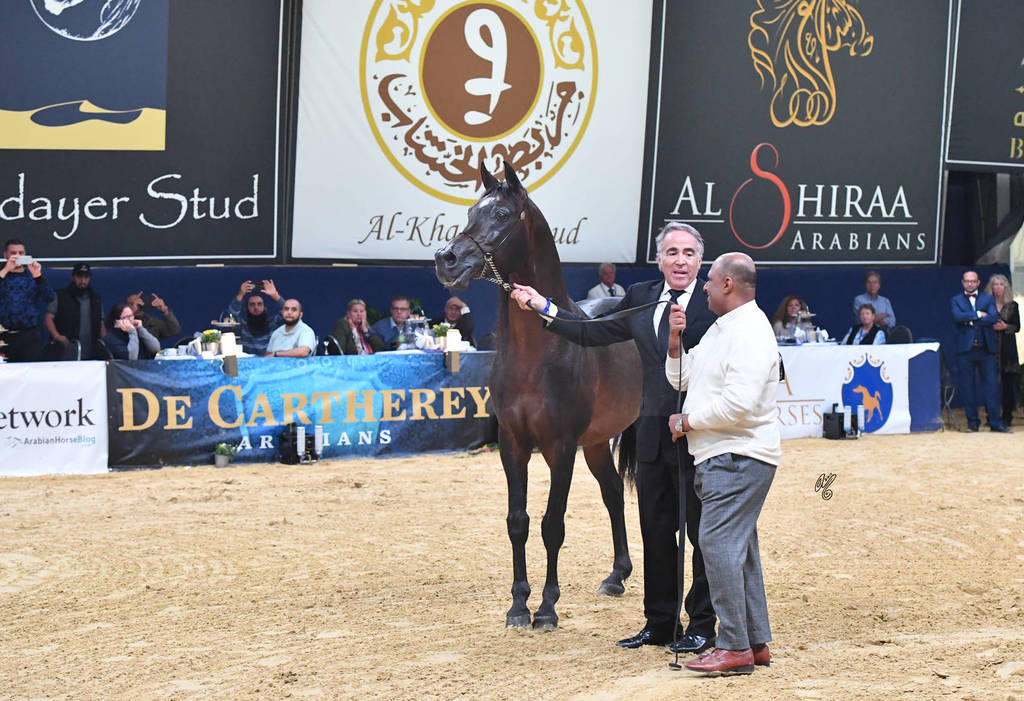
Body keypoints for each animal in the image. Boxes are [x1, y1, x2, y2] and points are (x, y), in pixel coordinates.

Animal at [434, 161, 642, 630]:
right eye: (471, 210)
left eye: (502, 215)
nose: (446, 259)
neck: (539, 353)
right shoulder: (513, 444)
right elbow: (518, 521)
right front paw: (517, 606)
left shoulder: (560, 447)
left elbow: (552, 525)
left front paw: (546, 609)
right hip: (597, 443)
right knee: (612, 495)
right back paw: (616, 577)